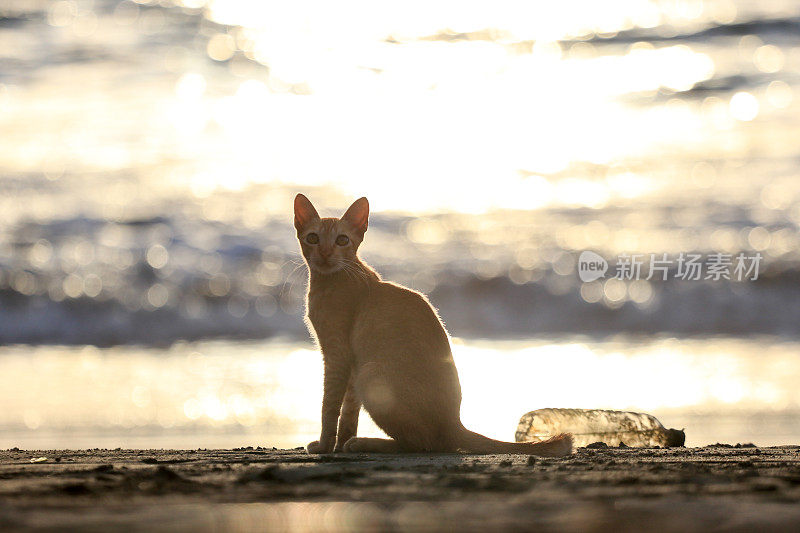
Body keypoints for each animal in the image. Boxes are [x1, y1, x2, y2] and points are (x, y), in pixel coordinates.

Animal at [296, 193, 572, 456]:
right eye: (313, 238)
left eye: (342, 240)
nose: (325, 253)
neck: (330, 281)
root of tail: (455, 423)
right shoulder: (351, 364)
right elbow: (349, 411)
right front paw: (339, 443)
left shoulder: (338, 356)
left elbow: (329, 406)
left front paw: (325, 445)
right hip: (364, 371)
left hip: (371, 374)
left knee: (421, 444)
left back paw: (366, 443)